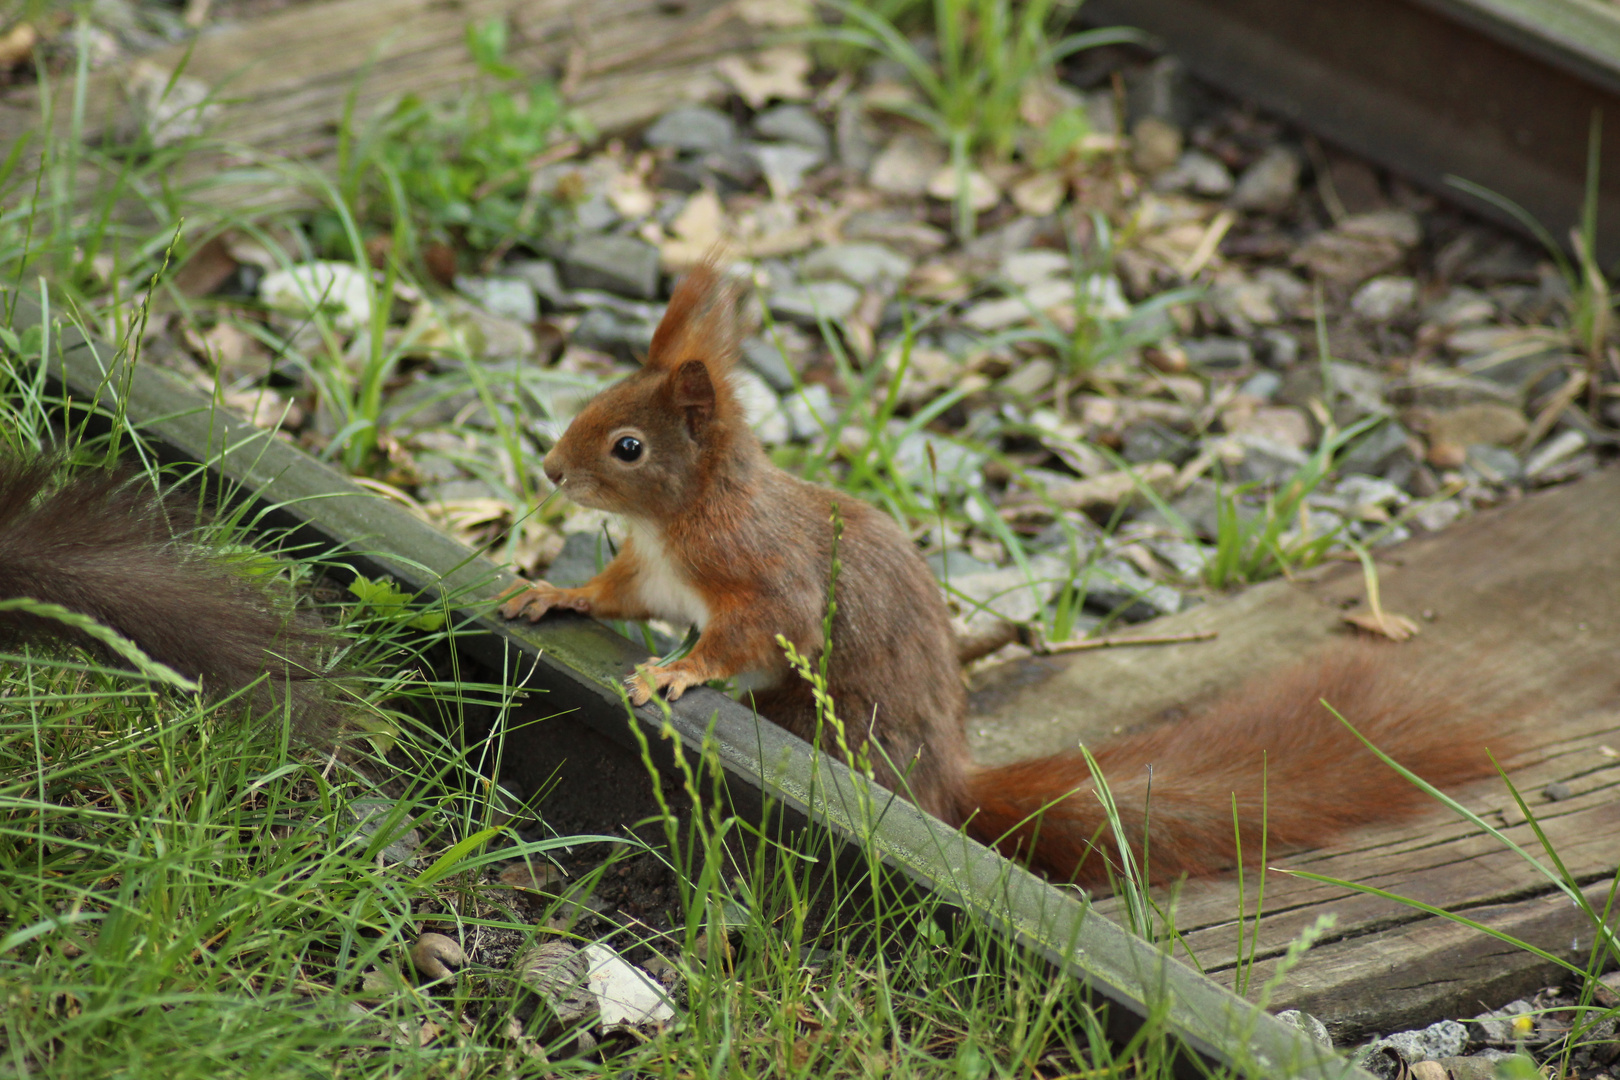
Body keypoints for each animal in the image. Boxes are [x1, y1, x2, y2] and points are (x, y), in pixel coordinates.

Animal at [505, 262, 1503, 887]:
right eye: (592, 401)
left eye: (627, 447)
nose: (549, 471)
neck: (674, 523)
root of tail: (947, 784)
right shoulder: (651, 575)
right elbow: (612, 594)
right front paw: (549, 591)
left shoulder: (760, 573)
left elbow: (755, 631)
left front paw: (677, 670)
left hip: (829, 725)